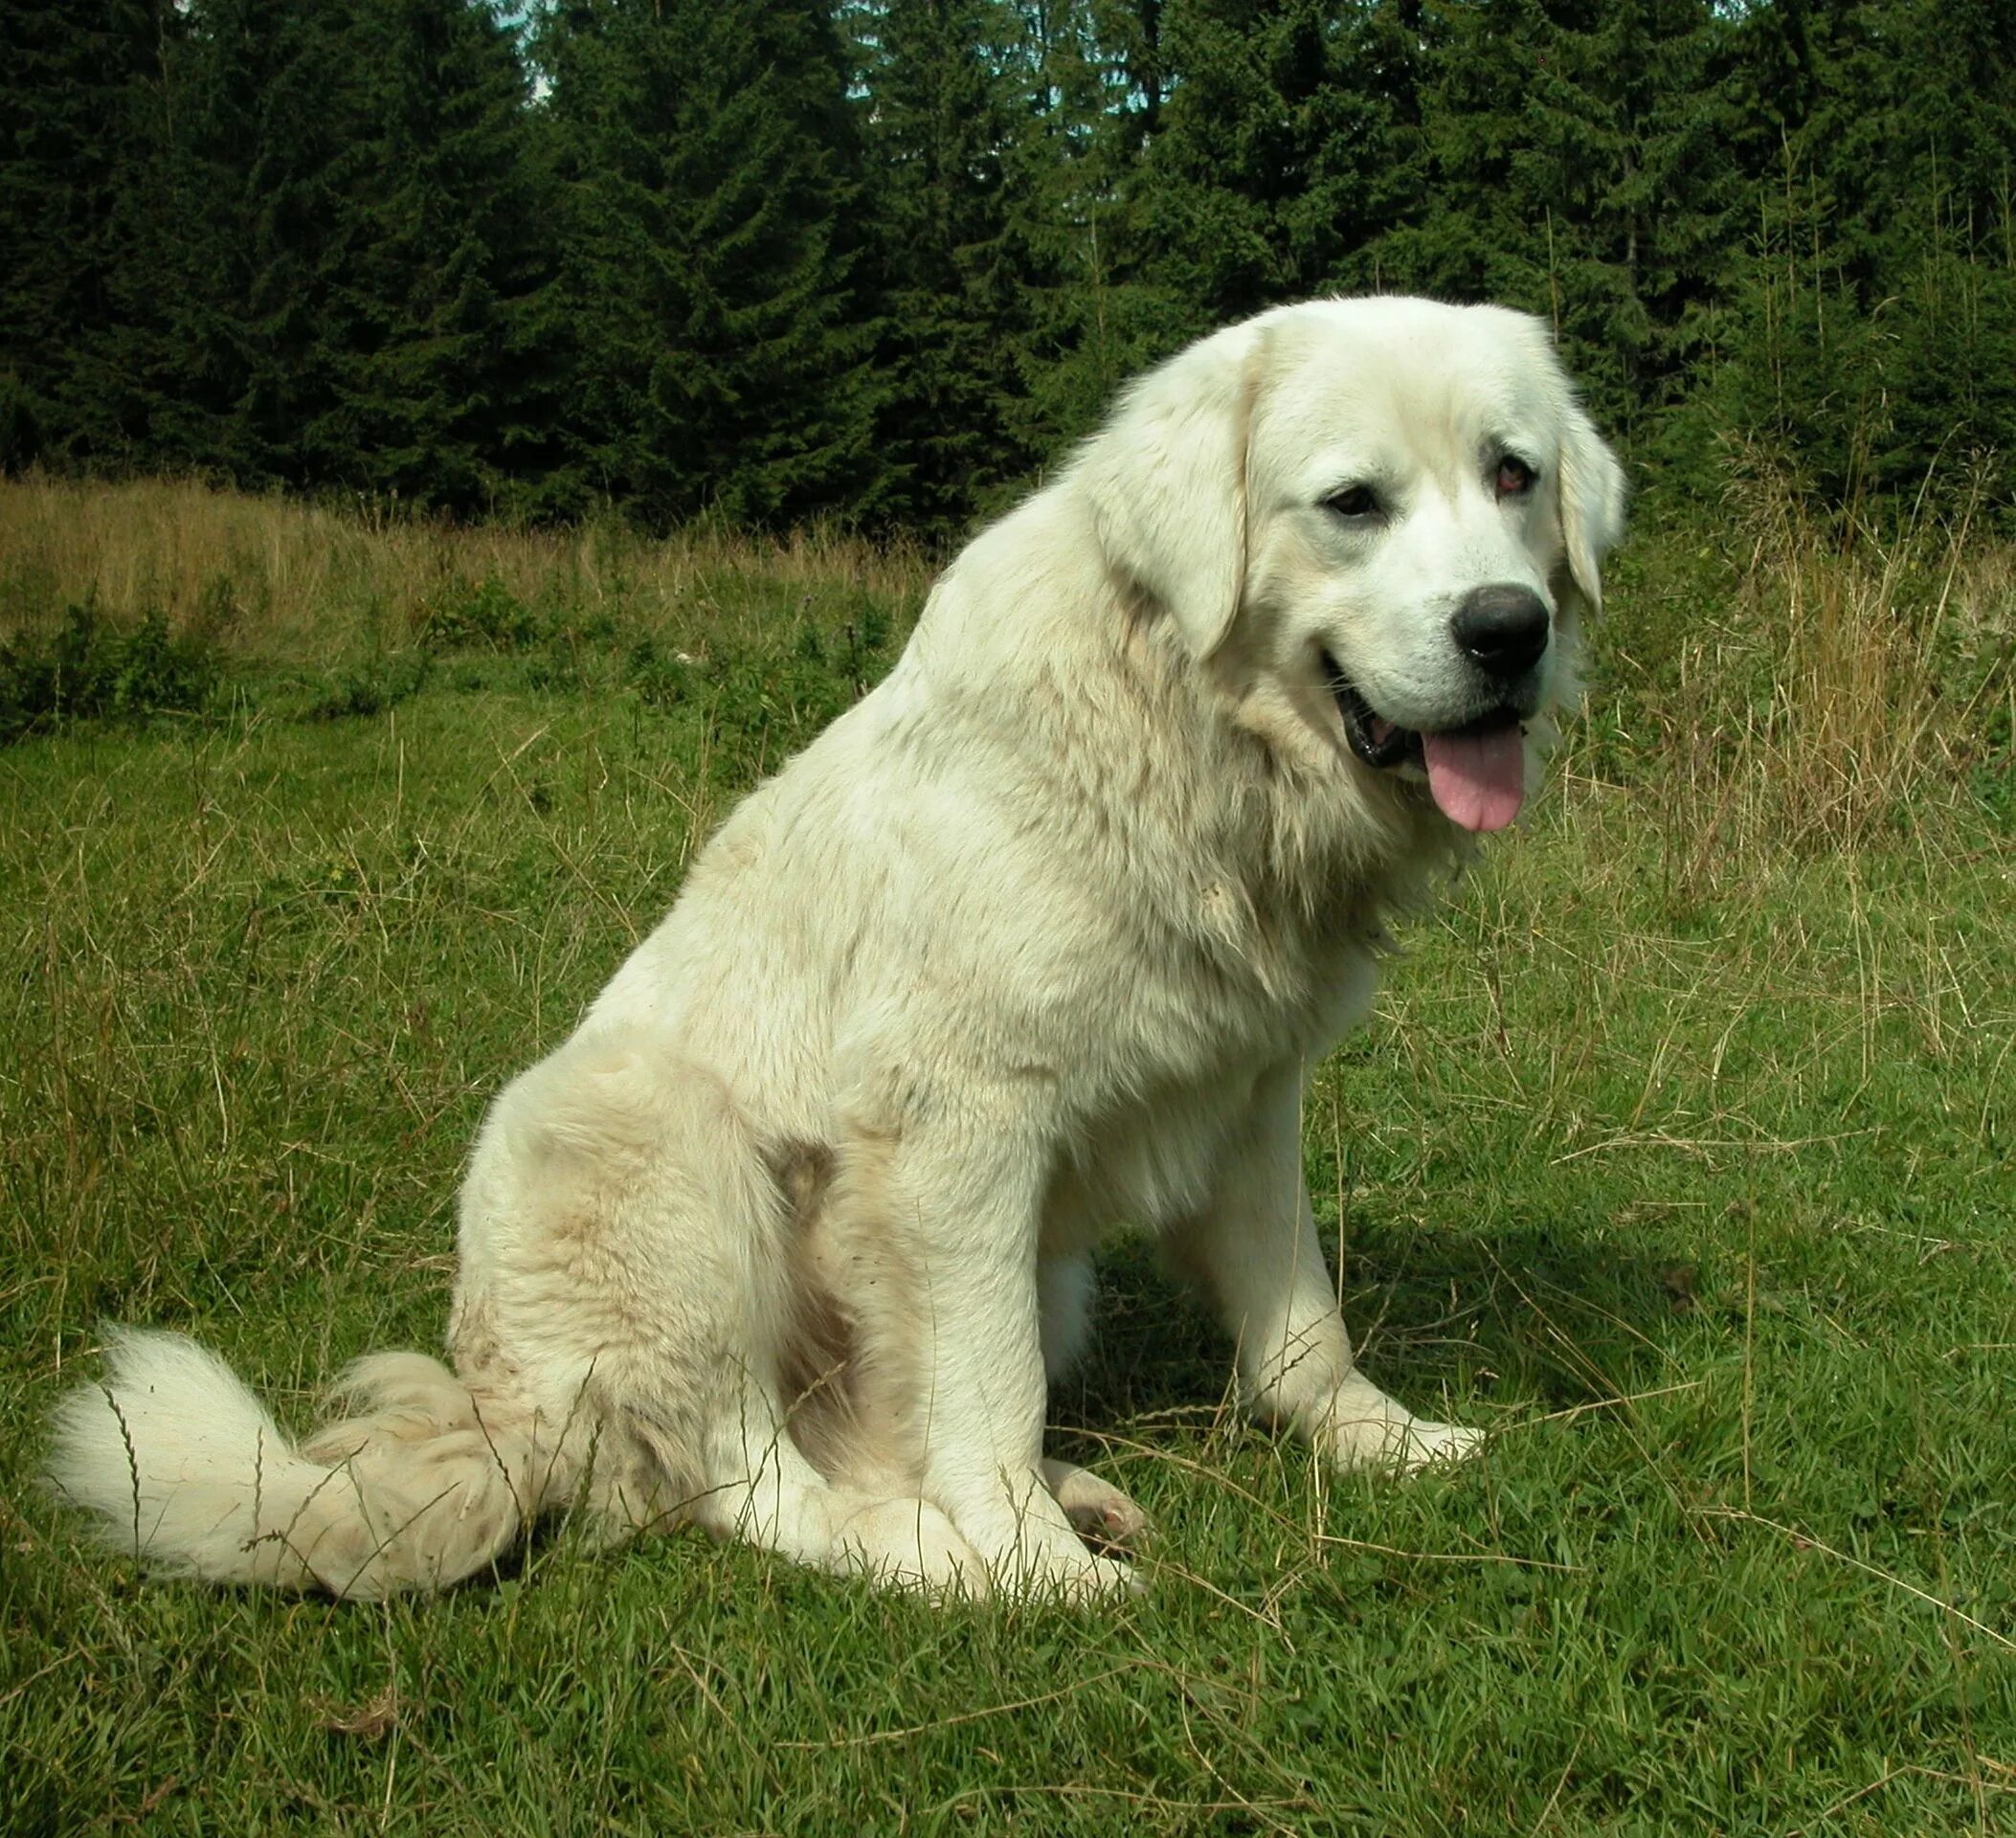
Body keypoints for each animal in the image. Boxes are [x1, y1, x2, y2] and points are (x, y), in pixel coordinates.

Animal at [43, 294, 1621, 1603]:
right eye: (1352, 504)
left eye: (1511, 475)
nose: (1507, 629)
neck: (1195, 741)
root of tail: (497, 1403)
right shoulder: (960, 1130)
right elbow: (984, 1387)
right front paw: (1028, 1566)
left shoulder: (1246, 1093)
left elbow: (1300, 1324)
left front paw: (1384, 1446)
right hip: (650, 1148)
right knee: (752, 1485)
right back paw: (958, 1555)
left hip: (1022, 1269)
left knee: (862, 1439)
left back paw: (1069, 1493)